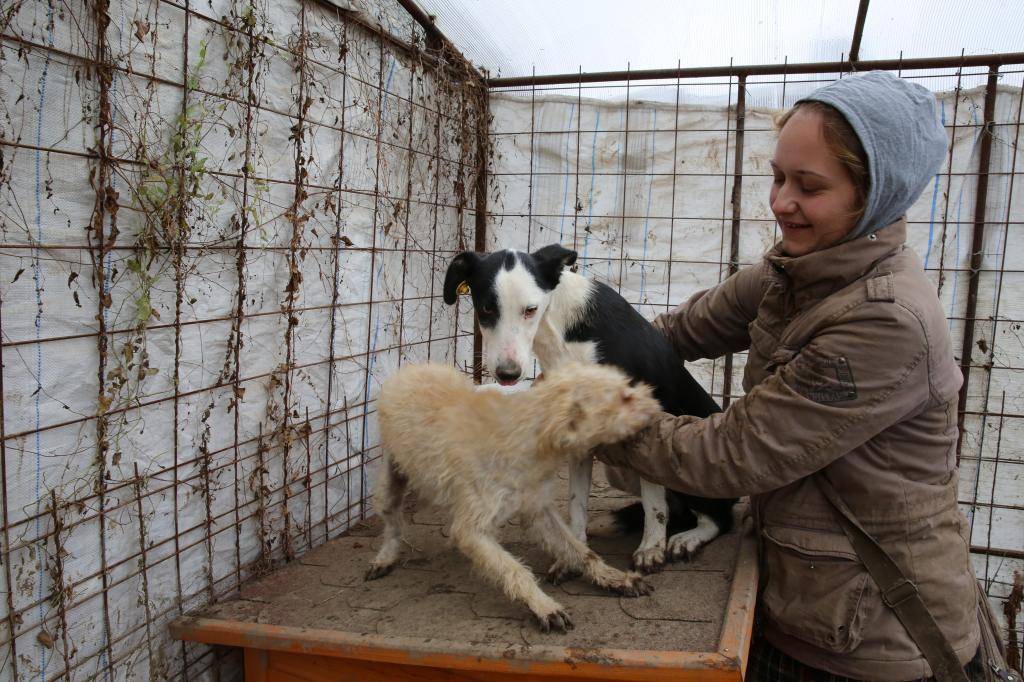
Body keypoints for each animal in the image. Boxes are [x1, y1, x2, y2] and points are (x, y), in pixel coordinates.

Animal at [364, 360, 659, 630]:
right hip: (388, 486)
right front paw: (544, 606)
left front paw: (615, 578)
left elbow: (581, 551)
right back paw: (385, 557)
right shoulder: (472, 530)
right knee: (393, 525)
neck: (528, 438)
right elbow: (514, 570)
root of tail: (411, 367)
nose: (657, 407)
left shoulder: (538, 510)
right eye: (624, 397)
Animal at [440, 241, 737, 569]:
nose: (508, 374)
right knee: (680, 511)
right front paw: (577, 550)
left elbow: (654, 499)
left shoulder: (648, 426)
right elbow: (577, 500)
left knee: (719, 517)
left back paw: (689, 537)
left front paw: (651, 547)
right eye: (487, 309)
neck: (561, 335)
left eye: (530, 310)